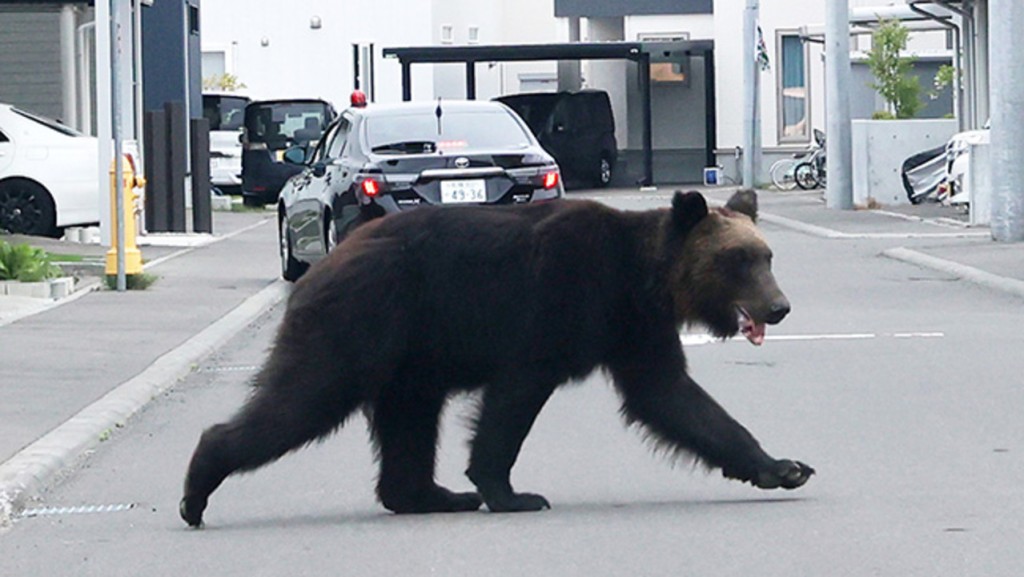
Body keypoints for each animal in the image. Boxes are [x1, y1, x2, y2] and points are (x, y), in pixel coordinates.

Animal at [180, 189, 811, 528]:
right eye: (738, 260)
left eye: (767, 255)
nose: (779, 307)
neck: (638, 277)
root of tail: (322, 264)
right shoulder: (555, 303)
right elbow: (512, 405)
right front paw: (512, 493)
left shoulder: (633, 329)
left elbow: (673, 398)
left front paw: (783, 466)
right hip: (364, 319)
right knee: (305, 395)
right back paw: (197, 487)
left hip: (411, 358)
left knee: (408, 422)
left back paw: (429, 495)